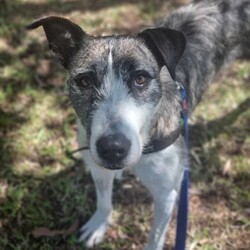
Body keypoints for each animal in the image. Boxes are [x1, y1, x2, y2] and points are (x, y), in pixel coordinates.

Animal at [27, 0, 250, 249]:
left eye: (141, 78)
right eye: (84, 81)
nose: (112, 149)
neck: (146, 139)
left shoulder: (166, 195)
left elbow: (154, 237)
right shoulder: (98, 169)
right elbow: (103, 202)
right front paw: (98, 225)